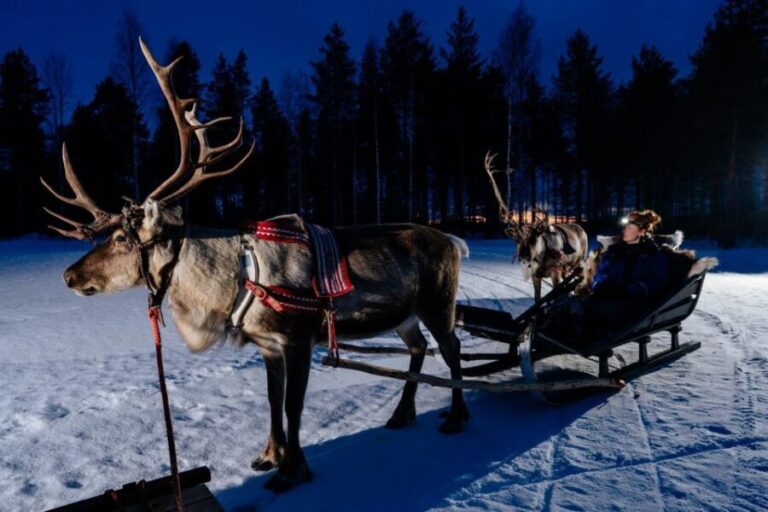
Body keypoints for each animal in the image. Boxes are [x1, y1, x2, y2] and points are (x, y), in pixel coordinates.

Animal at [42, 39, 470, 493]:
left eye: (122, 239)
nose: (69, 275)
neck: (233, 283)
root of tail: (453, 242)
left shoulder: (298, 338)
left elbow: (294, 406)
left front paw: (292, 470)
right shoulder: (267, 345)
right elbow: (272, 399)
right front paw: (269, 456)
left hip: (439, 304)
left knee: (451, 348)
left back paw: (457, 417)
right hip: (406, 315)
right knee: (419, 347)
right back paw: (402, 414)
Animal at [483, 152, 588, 301]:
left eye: (534, 239)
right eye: (517, 240)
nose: (523, 257)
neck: (541, 258)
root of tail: (582, 229)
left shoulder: (555, 271)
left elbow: (554, 295)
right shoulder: (535, 276)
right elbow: (537, 298)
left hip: (579, 261)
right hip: (566, 269)